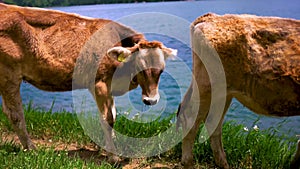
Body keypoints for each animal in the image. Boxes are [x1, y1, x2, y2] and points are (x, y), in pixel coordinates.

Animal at [0, 2, 176, 160]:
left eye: (161, 70)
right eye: (139, 67)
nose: (151, 100)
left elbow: (112, 115)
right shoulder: (100, 83)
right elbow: (108, 119)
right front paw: (113, 157)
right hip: (9, 75)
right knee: (15, 114)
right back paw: (31, 148)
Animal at [178, 13, 300, 169]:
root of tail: (211, 17)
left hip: (222, 92)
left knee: (212, 122)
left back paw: (223, 163)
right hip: (208, 86)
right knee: (190, 115)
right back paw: (188, 162)